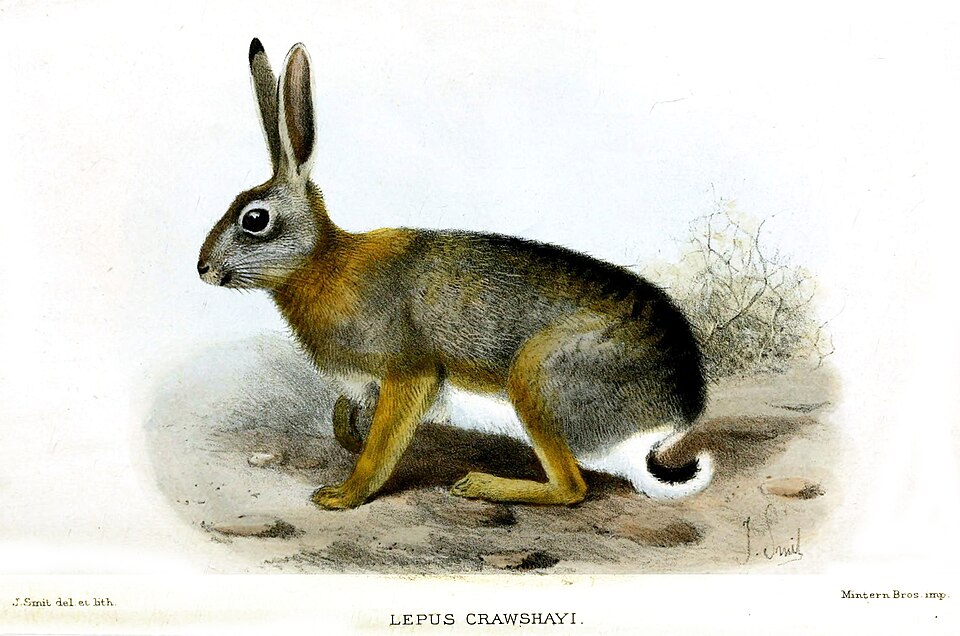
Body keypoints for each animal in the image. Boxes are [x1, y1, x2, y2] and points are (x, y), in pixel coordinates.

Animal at [198, 39, 714, 510]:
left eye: (255, 220)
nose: (203, 269)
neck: (322, 261)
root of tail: (661, 428)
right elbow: (346, 417)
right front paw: (348, 434)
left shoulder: (409, 374)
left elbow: (380, 450)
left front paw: (342, 495)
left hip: (535, 380)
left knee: (572, 488)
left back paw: (479, 485)